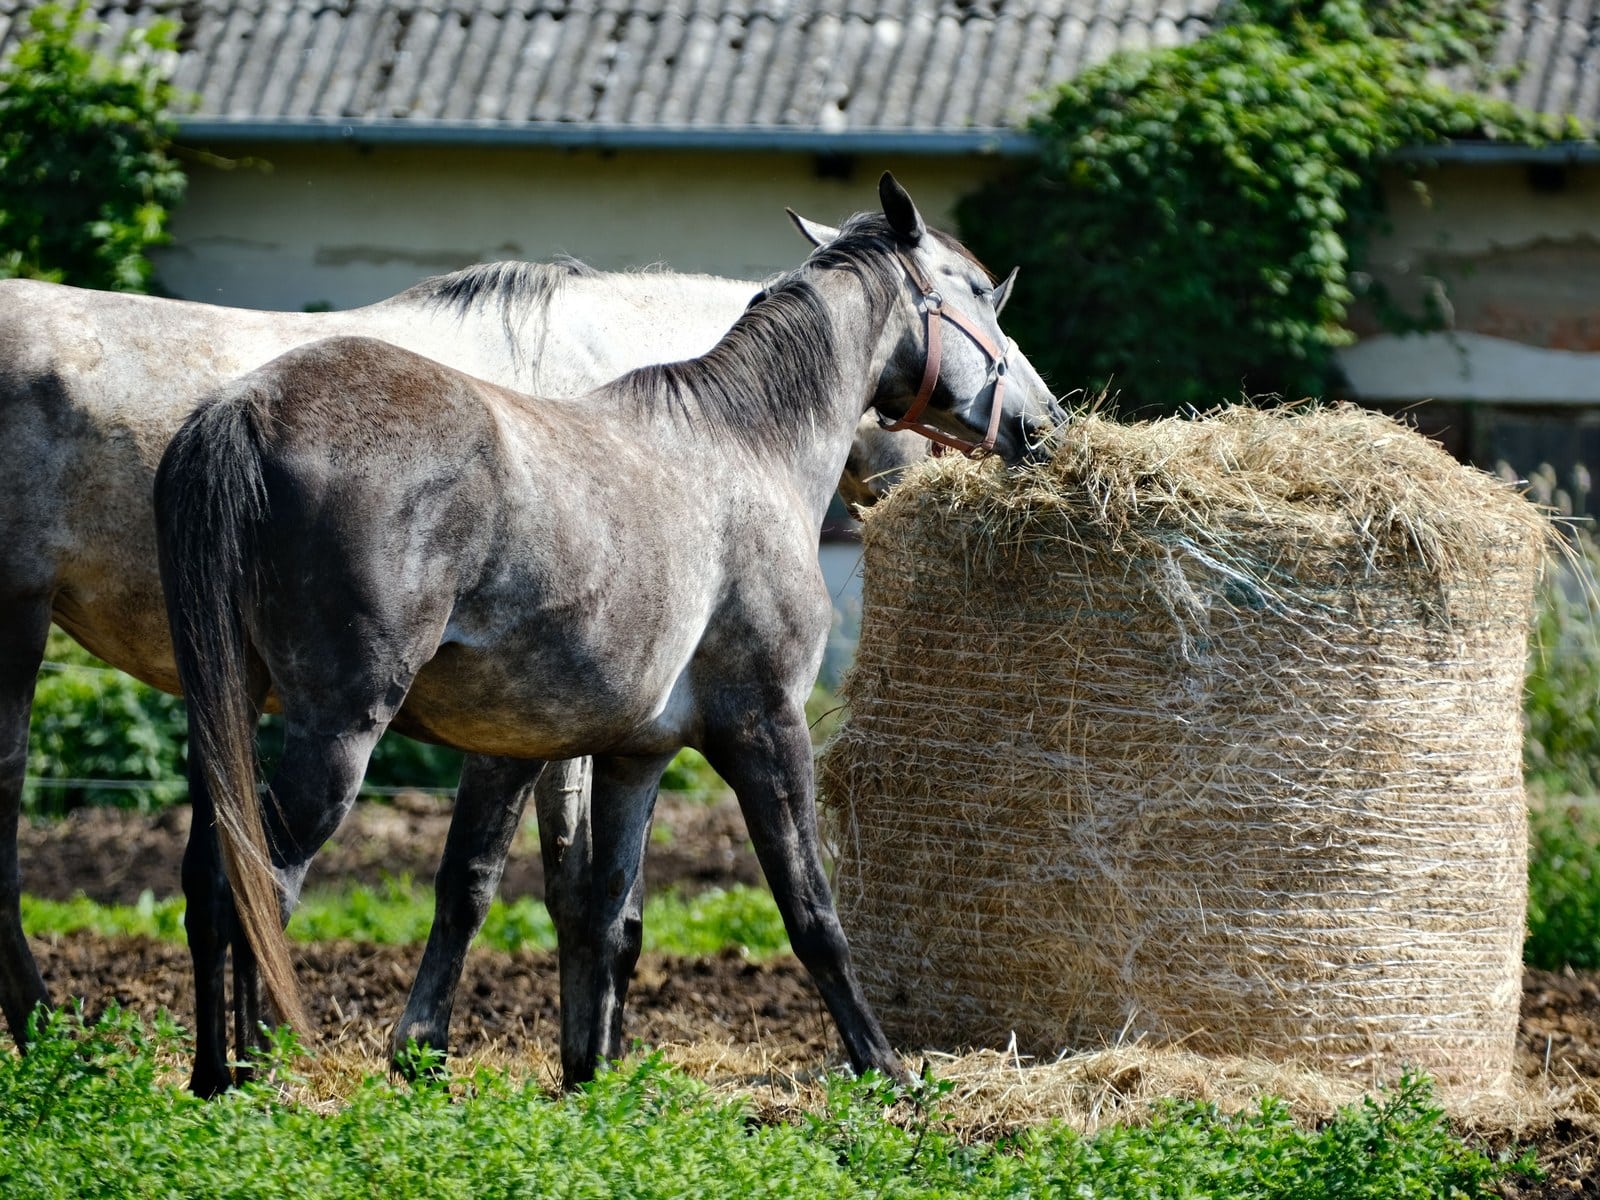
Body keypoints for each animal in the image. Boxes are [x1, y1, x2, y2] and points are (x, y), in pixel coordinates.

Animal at [0, 249, 943, 1057]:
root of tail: (237, 416)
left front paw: (567, 1058)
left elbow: (547, 894)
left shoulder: (562, 727)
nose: (927, 487)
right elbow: (544, 889)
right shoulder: (564, 730)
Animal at [155, 172, 1063, 1095]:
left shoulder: (635, 756)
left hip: (226, 718)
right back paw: (253, 1077)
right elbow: (810, 912)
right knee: (260, 884)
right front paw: (884, 1067)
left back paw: (211, 1076)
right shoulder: (767, 726)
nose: (1041, 423)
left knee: (210, 881)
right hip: (336, 735)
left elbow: (599, 910)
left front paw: (589, 1075)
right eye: (980, 292)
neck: (747, 444)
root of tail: (244, 407)